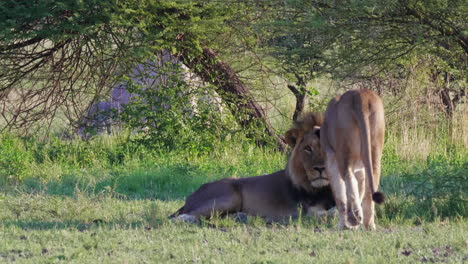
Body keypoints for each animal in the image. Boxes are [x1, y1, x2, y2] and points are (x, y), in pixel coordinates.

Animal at [170, 113, 334, 223]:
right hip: (230, 196)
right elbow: (331, 213)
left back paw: (241, 216)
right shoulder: (308, 212)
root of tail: (190, 197)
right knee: (182, 216)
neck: (325, 189)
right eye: (308, 148)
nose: (321, 168)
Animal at [320, 88, 386, 229]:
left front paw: (343, 225)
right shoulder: (360, 170)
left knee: (348, 177)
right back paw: (368, 224)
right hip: (375, 151)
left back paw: (356, 217)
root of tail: (360, 95)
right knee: (369, 187)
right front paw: (353, 224)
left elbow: (340, 194)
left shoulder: (330, 161)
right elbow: (359, 189)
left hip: (343, 152)